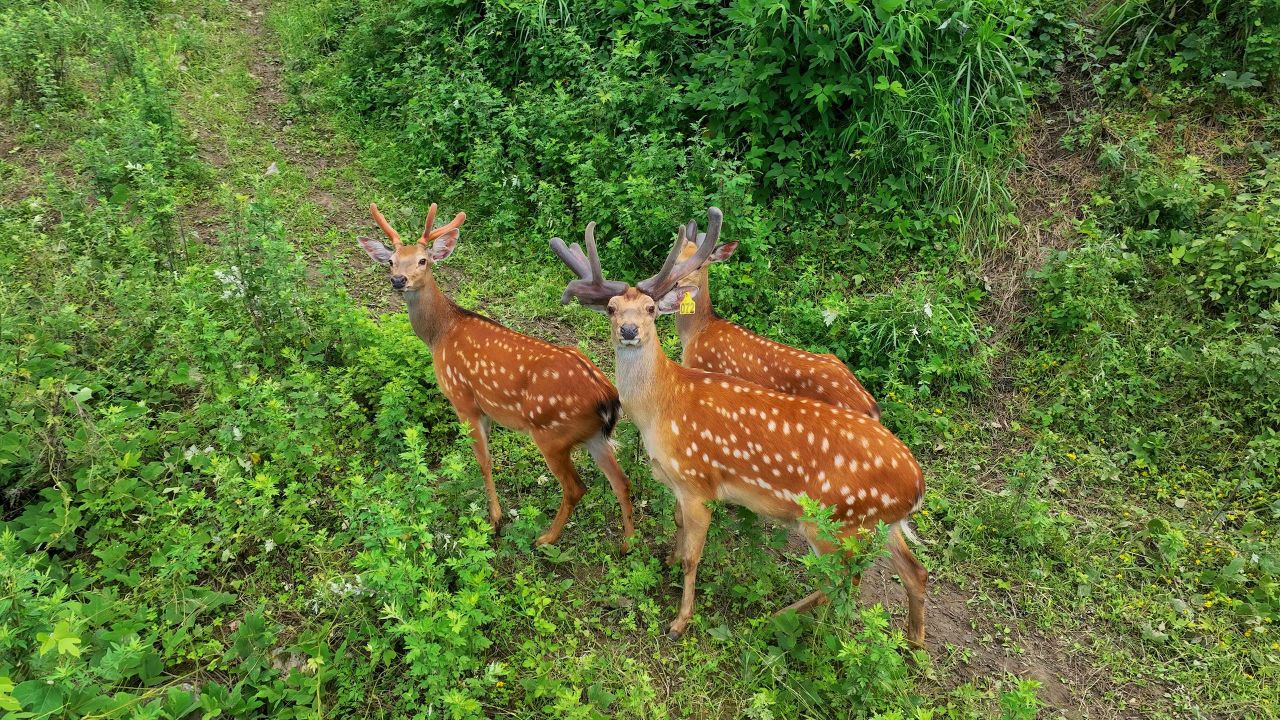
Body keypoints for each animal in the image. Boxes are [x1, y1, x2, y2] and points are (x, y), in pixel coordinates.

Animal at [360, 202, 634, 548]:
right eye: (391, 260)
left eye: (423, 260)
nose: (398, 280)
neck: (440, 334)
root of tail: (607, 397)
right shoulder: (486, 408)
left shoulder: (463, 398)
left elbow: (484, 460)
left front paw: (495, 519)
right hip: (594, 436)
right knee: (622, 481)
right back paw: (628, 544)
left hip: (552, 434)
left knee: (576, 488)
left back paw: (545, 538)